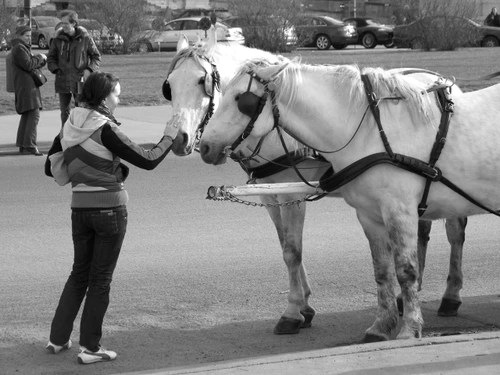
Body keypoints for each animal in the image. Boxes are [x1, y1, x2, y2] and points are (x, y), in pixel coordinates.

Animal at [167, 29, 468, 334]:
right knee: (422, 231)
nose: (179, 140)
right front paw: (305, 306)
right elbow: (285, 245)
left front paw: (292, 311)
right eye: (169, 86)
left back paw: (451, 296)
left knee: (455, 233)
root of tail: (438, 79)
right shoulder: (269, 196)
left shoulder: (291, 195)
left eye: (202, 81)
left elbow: (292, 250)